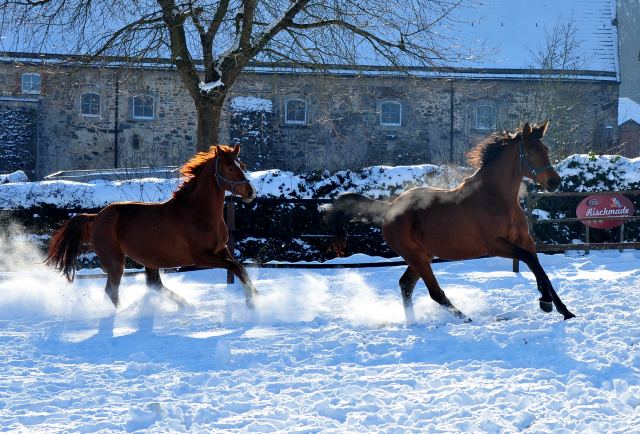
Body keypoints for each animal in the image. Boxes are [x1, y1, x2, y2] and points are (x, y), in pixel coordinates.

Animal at [45, 145, 260, 308]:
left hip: (149, 258)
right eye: (230, 169)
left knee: (152, 283)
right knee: (112, 290)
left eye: (242, 165)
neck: (198, 212)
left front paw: (255, 296)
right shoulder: (201, 257)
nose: (251, 192)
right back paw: (123, 313)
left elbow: (240, 267)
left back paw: (184, 304)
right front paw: (251, 300)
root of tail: (96, 216)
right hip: (115, 261)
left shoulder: (221, 250)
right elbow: (236, 267)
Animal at [324, 122, 576, 322]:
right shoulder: (496, 245)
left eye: (546, 149)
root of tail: (389, 208)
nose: (554, 182)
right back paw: (466, 319)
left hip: (423, 255)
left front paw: (564, 311)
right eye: (531, 152)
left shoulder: (525, 240)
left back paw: (413, 323)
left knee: (406, 285)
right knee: (434, 292)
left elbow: (539, 268)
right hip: (416, 256)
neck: (496, 198)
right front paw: (545, 302)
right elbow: (530, 261)